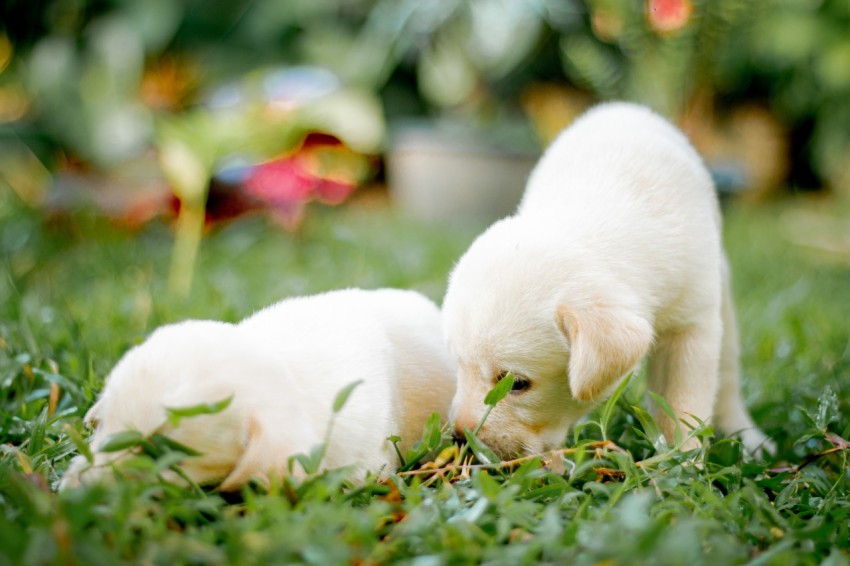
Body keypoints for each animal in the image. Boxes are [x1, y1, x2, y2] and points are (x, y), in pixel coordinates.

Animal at [444, 103, 776, 462]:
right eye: (458, 366)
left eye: (516, 383)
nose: (460, 438)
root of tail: (622, 107)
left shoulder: (691, 325)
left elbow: (682, 402)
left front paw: (682, 460)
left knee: (726, 376)